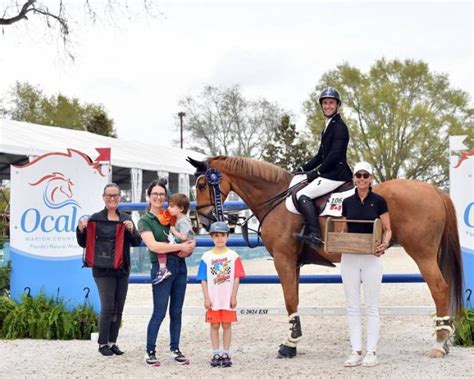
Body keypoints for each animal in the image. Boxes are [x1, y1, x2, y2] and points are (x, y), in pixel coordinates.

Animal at [188, 156, 462, 360]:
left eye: (201, 185)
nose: (203, 222)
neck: (276, 198)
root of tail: (435, 191)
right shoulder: (294, 263)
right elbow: (294, 298)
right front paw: (293, 341)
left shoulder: (283, 259)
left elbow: (289, 299)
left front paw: (289, 344)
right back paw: (444, 338)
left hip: (422, 254)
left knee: (440, 288)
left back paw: (439, 344)